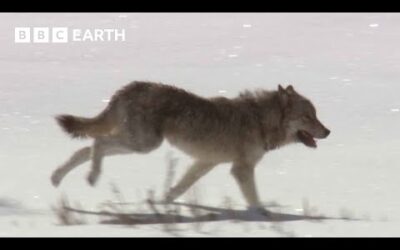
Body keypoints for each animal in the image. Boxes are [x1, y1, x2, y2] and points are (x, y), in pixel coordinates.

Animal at [51, 80, 330, 213]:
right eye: (308, 117)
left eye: (316, 116)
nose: (328, 132)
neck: (260, 120)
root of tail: (131, 86)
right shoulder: (241, 169)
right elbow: (254, 199)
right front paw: (262, 216)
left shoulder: (206, 162)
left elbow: (179, 187)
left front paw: (161, 204)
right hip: (144, 144)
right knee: (97, 142)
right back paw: (92, 177)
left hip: (138, 143)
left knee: (85, 148)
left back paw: (57, 178)